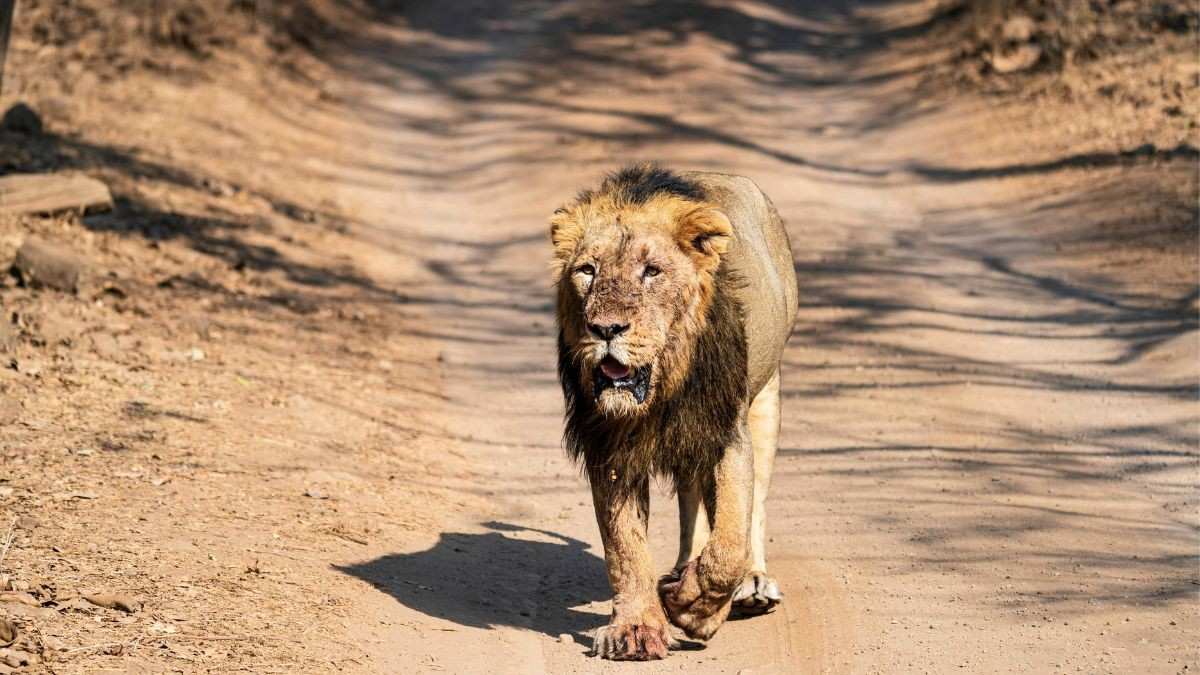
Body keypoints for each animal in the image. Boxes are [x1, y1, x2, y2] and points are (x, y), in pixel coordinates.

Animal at [551, 164, 798, 660]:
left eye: (652, 271)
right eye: (587, 270)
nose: (605, 328)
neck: (664, 386)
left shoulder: (727, 431)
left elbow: (729, 544)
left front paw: (696, 610)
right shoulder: (609, 446)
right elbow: (625, 548)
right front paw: (636, 629)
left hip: (766, 397)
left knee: (755, 501)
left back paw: (752, 584)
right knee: (690, 501)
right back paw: (683, 570)